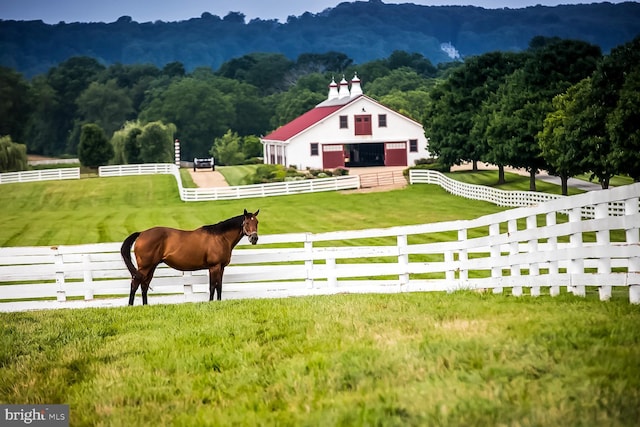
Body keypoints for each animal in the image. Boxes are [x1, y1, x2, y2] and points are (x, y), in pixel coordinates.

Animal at [120, 210, 260, 304]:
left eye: (257, 222)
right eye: (246, 222)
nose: (254, 238)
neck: (220, 237)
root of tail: (141, 233)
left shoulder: (221, 267)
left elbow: (219, 286)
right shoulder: (214, 267)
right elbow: (212, 286)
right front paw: (211, 303)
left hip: (151, 267)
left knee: (144, 285)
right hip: (145, 267)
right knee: (135, 284)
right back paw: (131, 306)